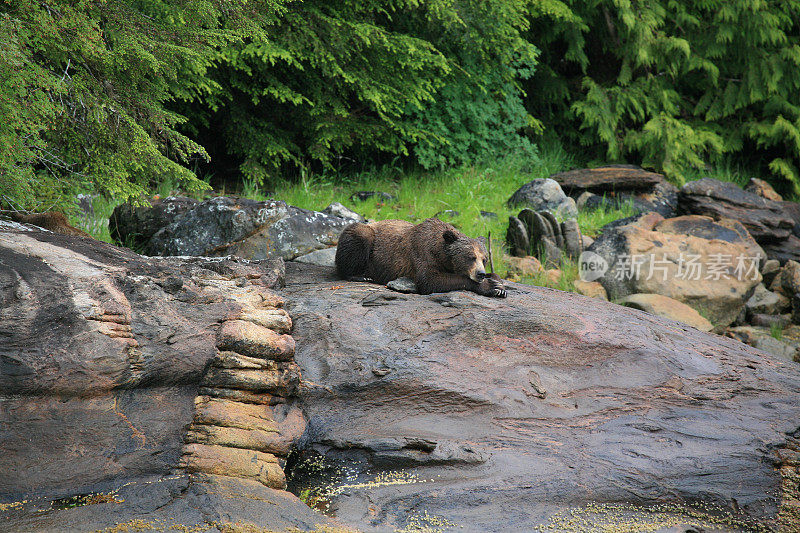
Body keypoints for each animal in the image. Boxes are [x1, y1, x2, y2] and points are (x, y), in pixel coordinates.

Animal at [336, 218, 506, 298]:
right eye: (470, 257)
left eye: (484, 259)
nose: (480, 274)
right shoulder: (422, 253)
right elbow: (430, 280)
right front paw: (491, 287)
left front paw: (499, 285)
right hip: (368, 237)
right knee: (359, 237)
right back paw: (360, 276)